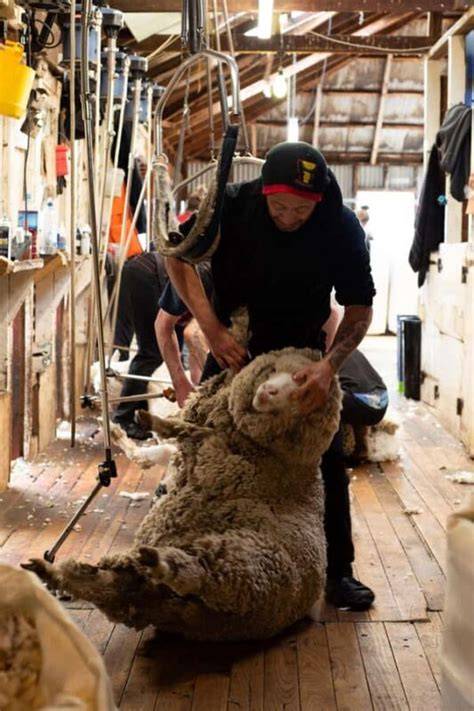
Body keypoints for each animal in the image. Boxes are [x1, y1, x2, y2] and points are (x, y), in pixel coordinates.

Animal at [24, 347, 341, 642]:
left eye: (304, 390)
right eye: (274, 369)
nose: (267, 391)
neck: (273, 453)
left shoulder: (213, 444)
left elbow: (186, 432)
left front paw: (146, 425)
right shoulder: (189, 449)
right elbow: (158, 448)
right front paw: (125, 430)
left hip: (240, 563)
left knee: (193, 575)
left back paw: (156, 562)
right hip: (163, 600)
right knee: (116, 590)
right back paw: (54, 572)